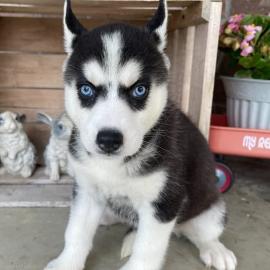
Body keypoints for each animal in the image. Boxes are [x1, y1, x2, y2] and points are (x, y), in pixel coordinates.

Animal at [44, 0, 236, 270]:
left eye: (139, 90)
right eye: (86, 89)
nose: (109, 140)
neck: (113, 165)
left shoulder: (163, 202)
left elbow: (148, 247)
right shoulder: (86, 191)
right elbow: (76, 232)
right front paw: (67, 262)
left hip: (212, 210)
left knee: (205, 232)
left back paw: (215, 249)